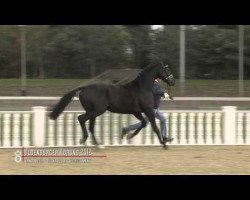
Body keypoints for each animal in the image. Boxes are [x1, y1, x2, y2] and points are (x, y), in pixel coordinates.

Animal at [47, 61, 175, 149]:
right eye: (167, 70)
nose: (172, 82)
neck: (141, 88)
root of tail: (84, 88)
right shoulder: (148, 110)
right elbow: (154, 126)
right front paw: (164, 144)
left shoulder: (136, 112)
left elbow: (143, 123)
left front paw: (128, 135)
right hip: (97, 111)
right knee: (81, 119)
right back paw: (89, 141)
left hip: (93, 112)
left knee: (90, 126)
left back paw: (95, 144)